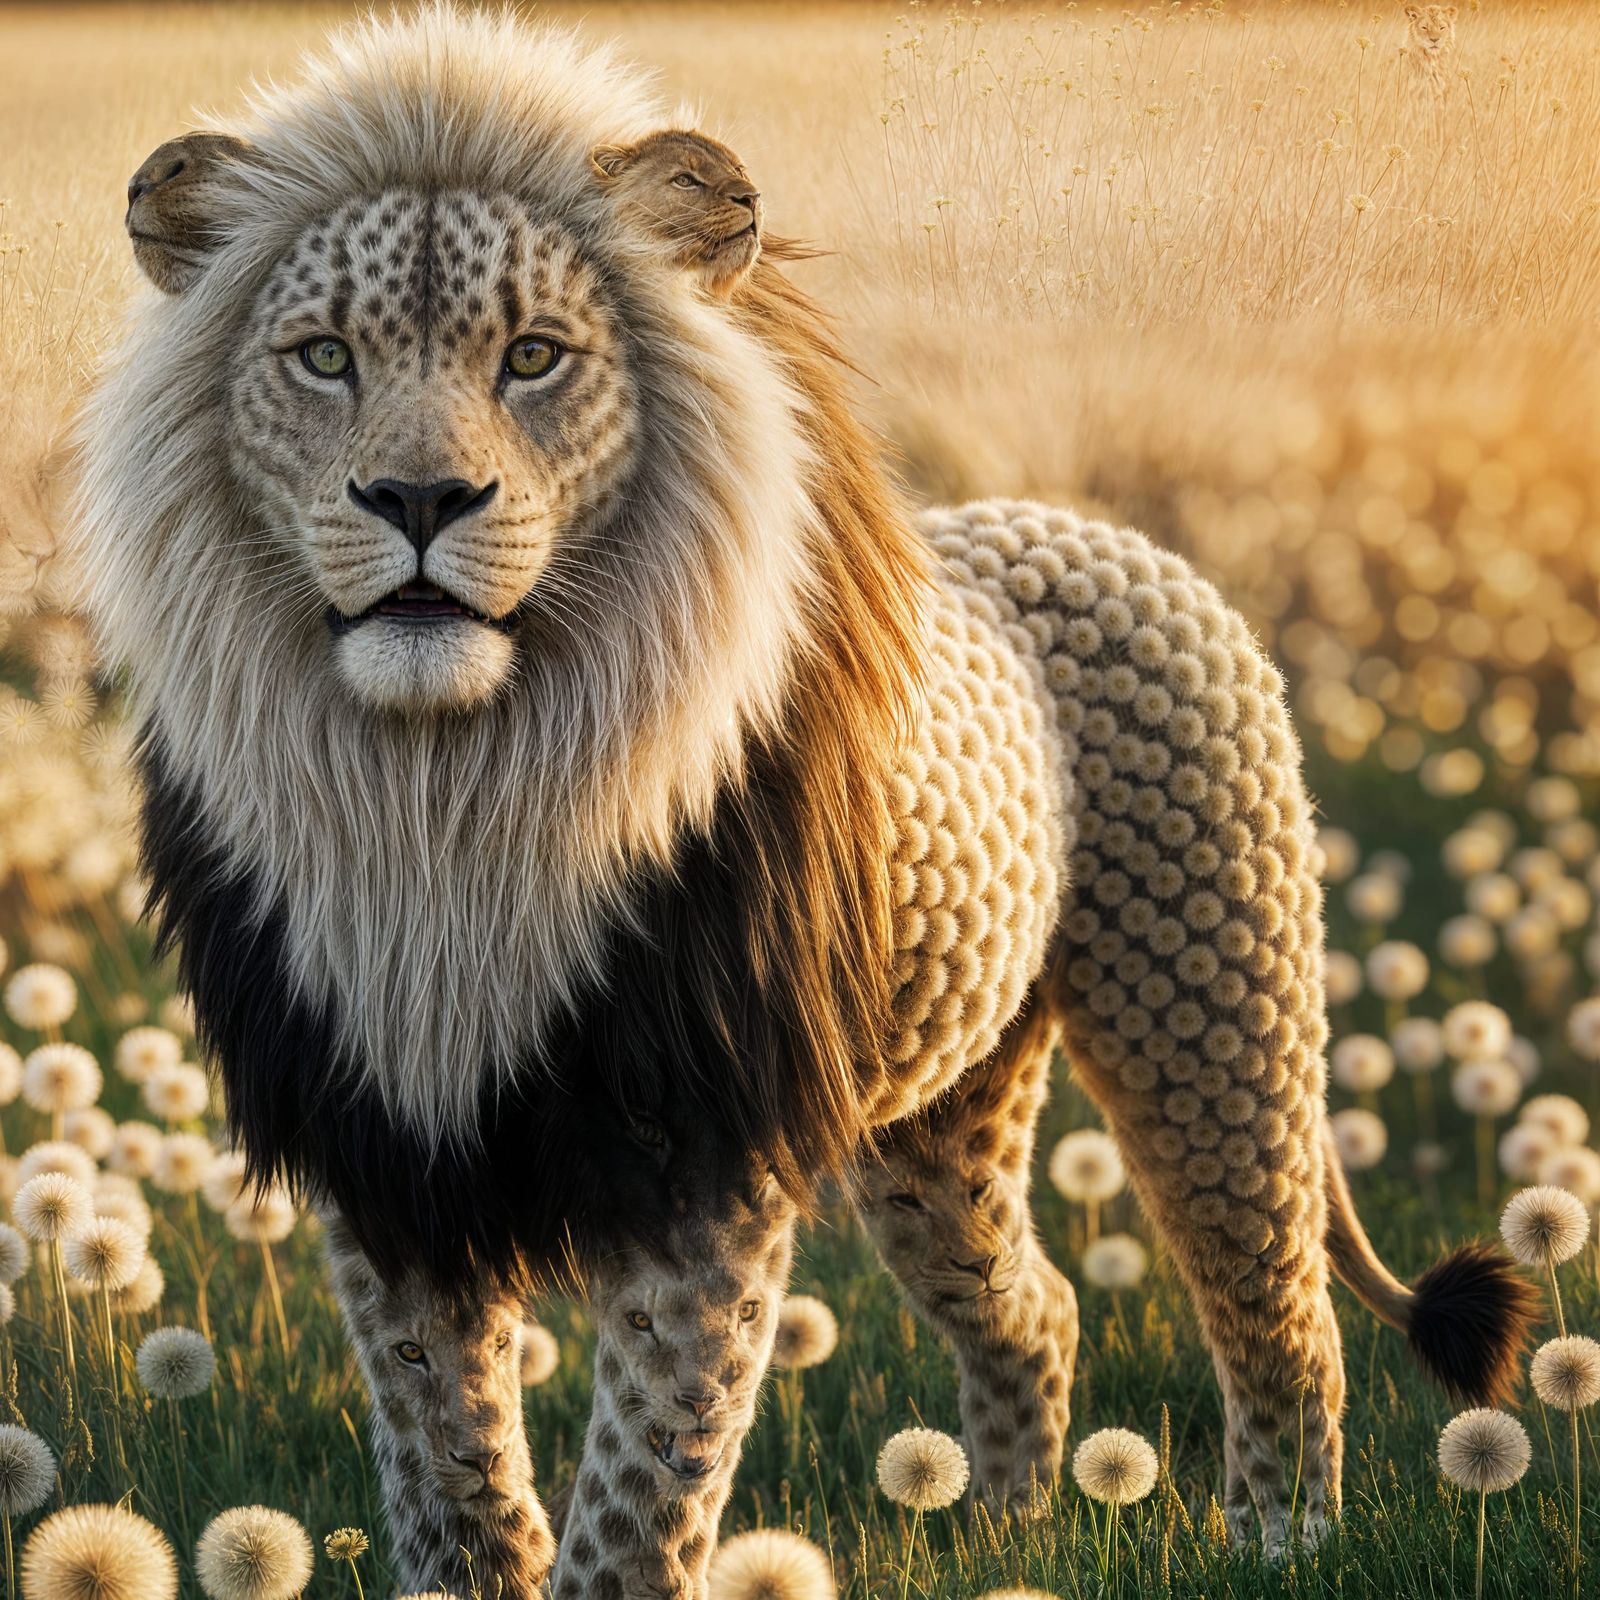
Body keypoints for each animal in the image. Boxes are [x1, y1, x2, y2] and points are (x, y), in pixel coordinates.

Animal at [79, 5, 1534, 1583]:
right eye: (324, 357)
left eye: (532, 355)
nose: (418, 500)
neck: (450, 792)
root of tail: (1110, 536)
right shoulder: (382, 1157)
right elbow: (445, 1467)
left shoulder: (701, 1155)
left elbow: (642, 1491)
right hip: (942, 1122)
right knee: (1034, 1302)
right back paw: (1000, 1526)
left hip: (1208, 1013)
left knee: (1274, 1302)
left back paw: (1279, 1538)